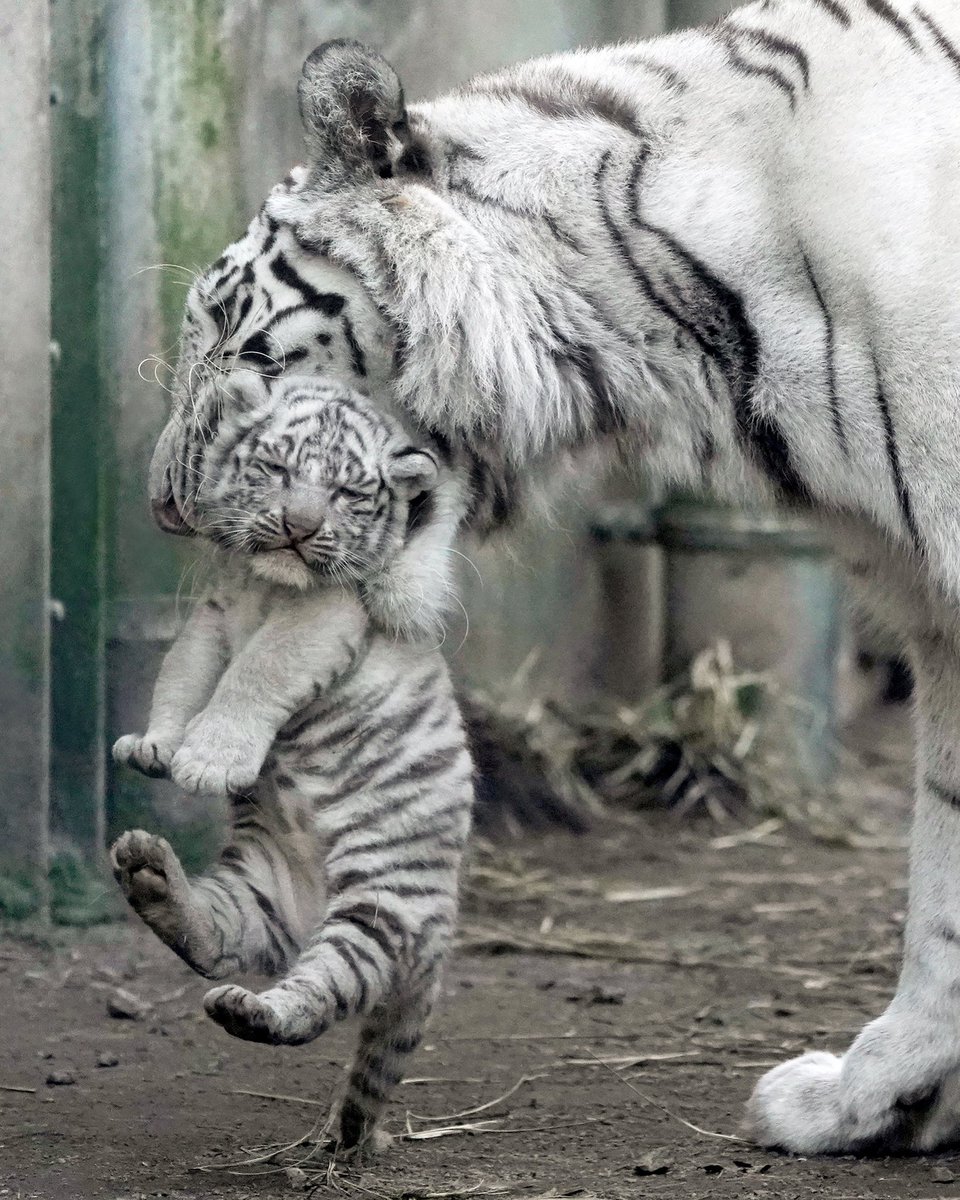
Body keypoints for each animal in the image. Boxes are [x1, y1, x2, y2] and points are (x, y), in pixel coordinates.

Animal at [113, 379, 472, 1156]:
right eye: (276, 470)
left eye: (345, 493)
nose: (299, 527)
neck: (264, 585)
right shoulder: (214, 613)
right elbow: (183, 674)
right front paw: (157, 747)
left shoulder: (323, 617)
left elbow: (252, 673)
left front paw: (206, 761)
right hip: (257, 891)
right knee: (216, 940)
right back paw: (149, 874)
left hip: (382, 911)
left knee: (318, 993)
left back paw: (255, 1015)